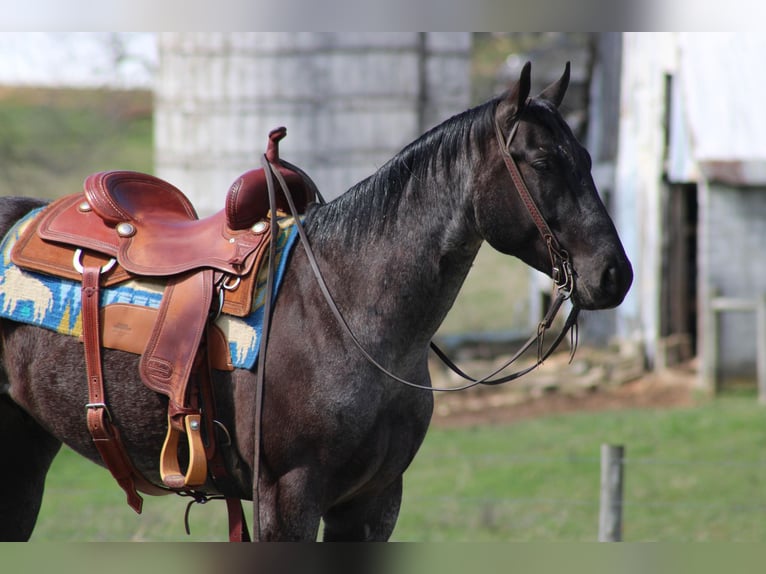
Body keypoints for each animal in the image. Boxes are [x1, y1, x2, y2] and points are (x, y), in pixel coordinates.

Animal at [0, 63, 632, 544]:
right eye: (542, 162)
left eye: (588, 158)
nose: (615, 275)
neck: (345, 311)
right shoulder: (287, 496)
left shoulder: (374, 501)